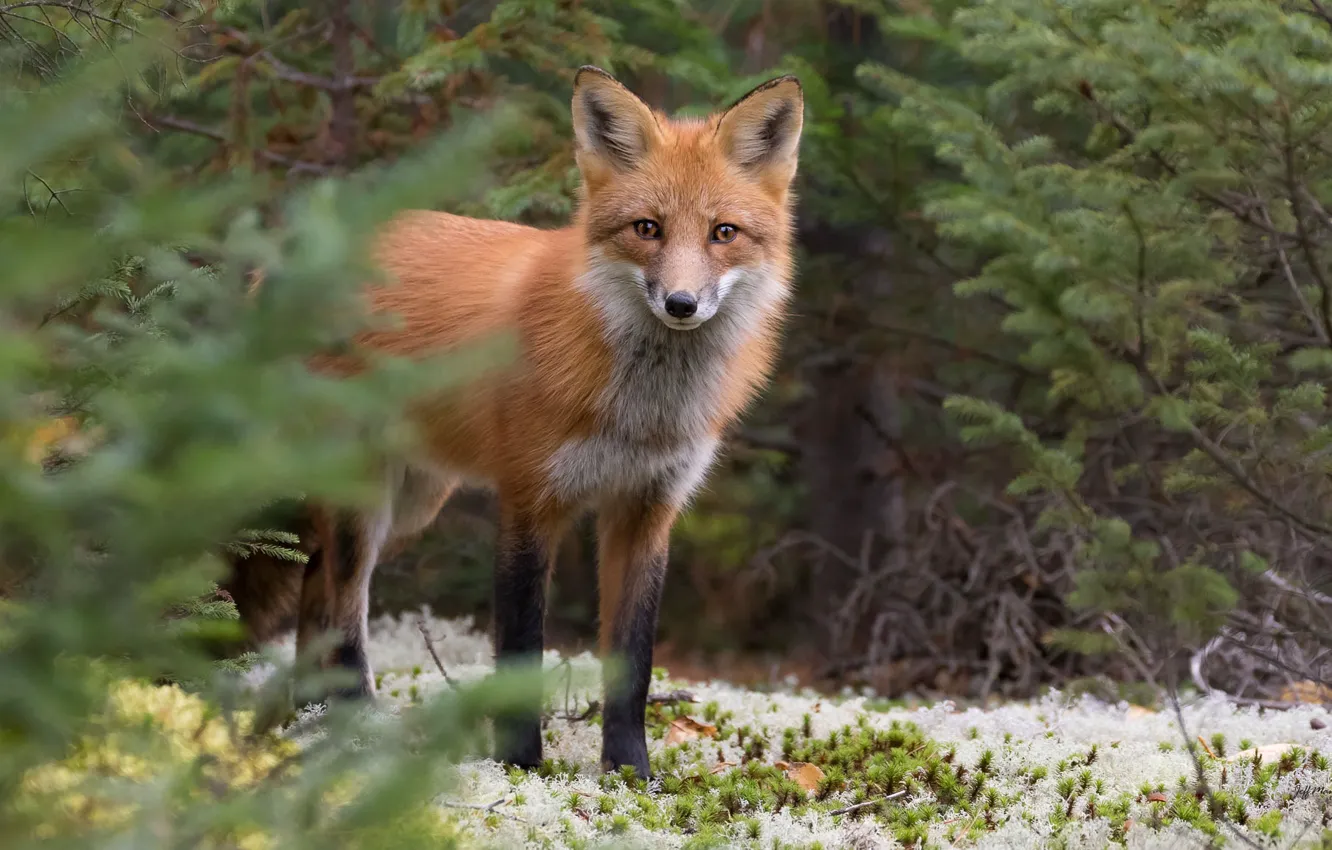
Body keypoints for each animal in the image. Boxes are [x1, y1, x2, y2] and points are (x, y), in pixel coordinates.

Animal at [225, 63, 804, 778]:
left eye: (723, 233)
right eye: (647, 229)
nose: (681, 303)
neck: (640, 412)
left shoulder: (647, 510)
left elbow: (633, 663)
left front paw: (630, 773)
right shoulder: (530, 501)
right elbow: (521, 646)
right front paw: (520, 766)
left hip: (411, 504)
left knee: (314, 590)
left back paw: (316, 717)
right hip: (364, 498)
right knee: (341, 601)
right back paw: (356, 723)